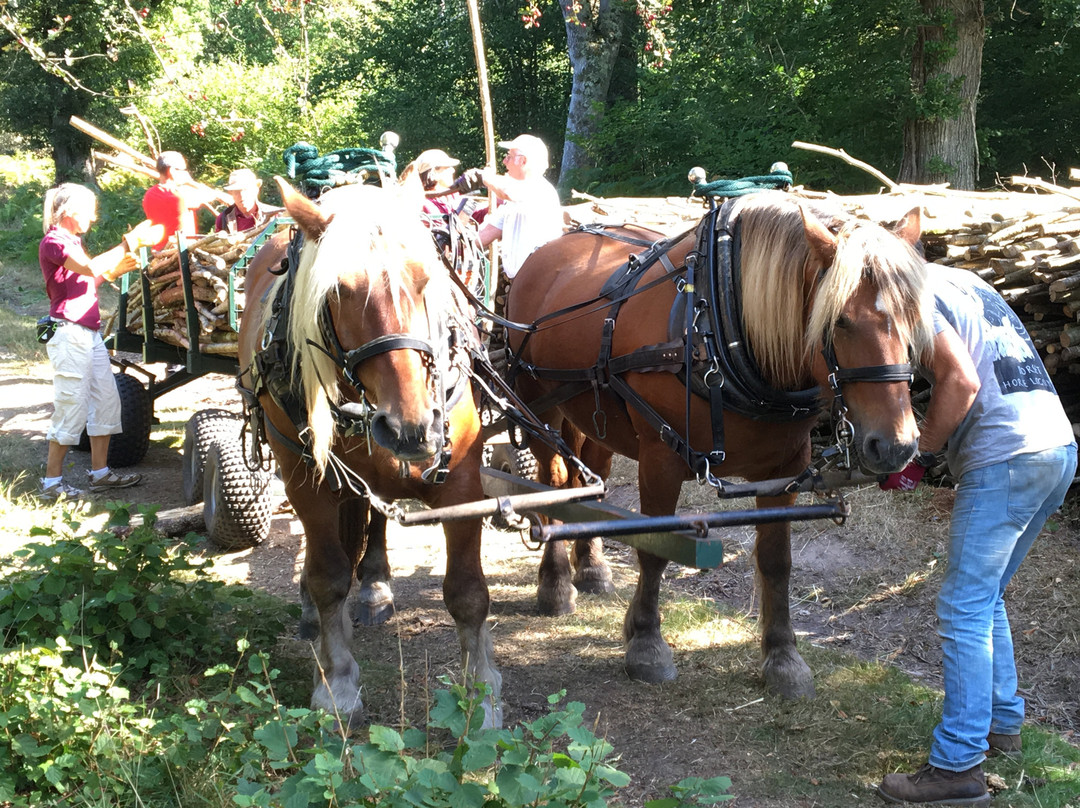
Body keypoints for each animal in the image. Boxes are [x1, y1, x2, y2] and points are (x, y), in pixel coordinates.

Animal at [238, 181, 498, 725]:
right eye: (337, 291)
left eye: (426, 279)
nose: (410, 427)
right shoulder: (307, 483)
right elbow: (327, 577)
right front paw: (336, 681)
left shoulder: (463, 483)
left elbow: (467, 592)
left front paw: (481, 696)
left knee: (373, 521)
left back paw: (375, 584)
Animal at [507, 192, 937, 695]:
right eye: (840, 320)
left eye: (915, 316)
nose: (896, 446)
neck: (716, 322)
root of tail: (551, 247)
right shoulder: (661, 457)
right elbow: (654, 549)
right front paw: (646, 644)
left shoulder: (786, 470)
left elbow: (776, 560)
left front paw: (783, 658)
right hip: (539, 407)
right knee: (552, 485)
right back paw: (555, 584)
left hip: (596, 416)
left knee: (588, 481)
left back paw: (591, 567)